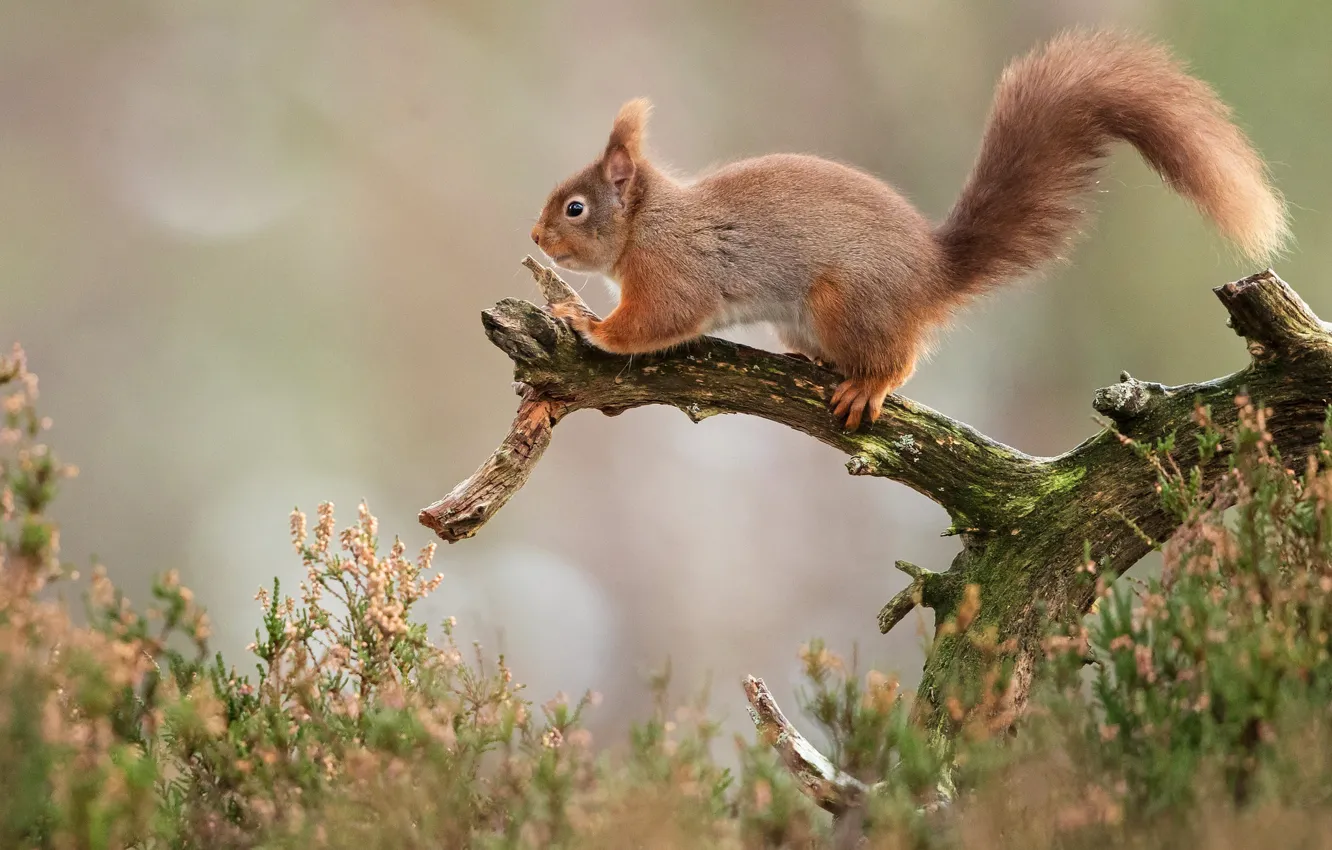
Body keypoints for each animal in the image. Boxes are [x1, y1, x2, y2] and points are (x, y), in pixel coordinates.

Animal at [530, 29, 1289, 428]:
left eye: (575, 208)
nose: (536, 239)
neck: (646, 222)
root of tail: (933, 276)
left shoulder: (675, 271)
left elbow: (657, 321)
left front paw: (588, 324)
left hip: (848, 300)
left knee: (901, 360)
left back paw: (869, 383)